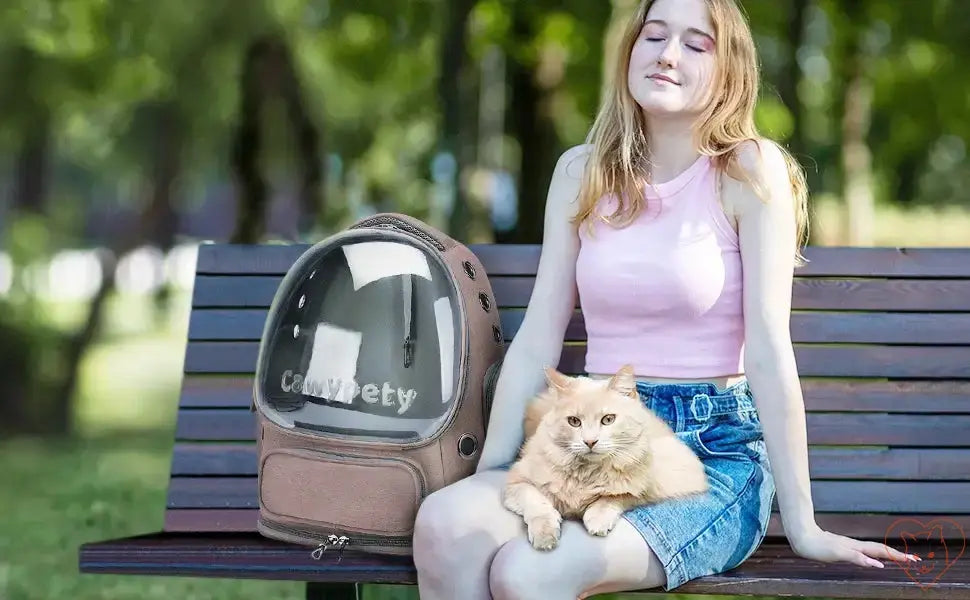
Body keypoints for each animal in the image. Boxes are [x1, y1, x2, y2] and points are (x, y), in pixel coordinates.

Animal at [502, 364, 708, 552]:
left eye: (608, 419)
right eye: (574, 421)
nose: (590, 441)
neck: (586, 474)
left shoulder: (649, 487)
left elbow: (613, 498)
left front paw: (597, 520)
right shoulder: (517, 482)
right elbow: (538, 505)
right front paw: (545, 535)